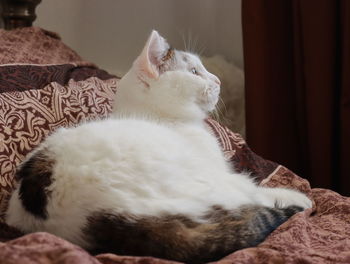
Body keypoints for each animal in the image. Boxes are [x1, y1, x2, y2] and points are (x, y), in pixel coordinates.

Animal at [5, 29, 312, 262]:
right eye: (194, 71)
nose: (218, 80)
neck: (161, 117)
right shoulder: (223, 175)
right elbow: (257, 188)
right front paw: (297, 196)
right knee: (248, 199)